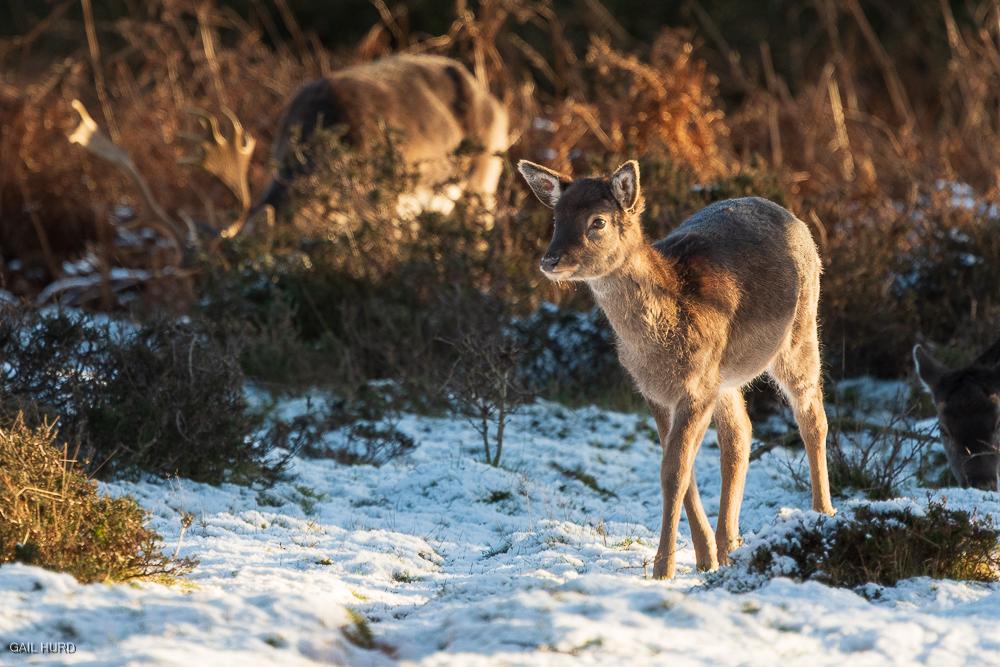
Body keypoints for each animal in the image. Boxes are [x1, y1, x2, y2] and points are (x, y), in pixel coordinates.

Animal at [517, 160, 835, 579]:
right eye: (556, 217)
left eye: (597, 222)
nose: (550, 261)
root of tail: (795, 218)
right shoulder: (656, 393)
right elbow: (683, 472)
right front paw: (704, 558)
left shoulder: (695, 388)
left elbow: (674, 471)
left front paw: (663, 568)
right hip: (724, 376)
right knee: (740, 435)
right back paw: (729, 546)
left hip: (799, 331)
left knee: (812, 416)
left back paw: (822, 513)